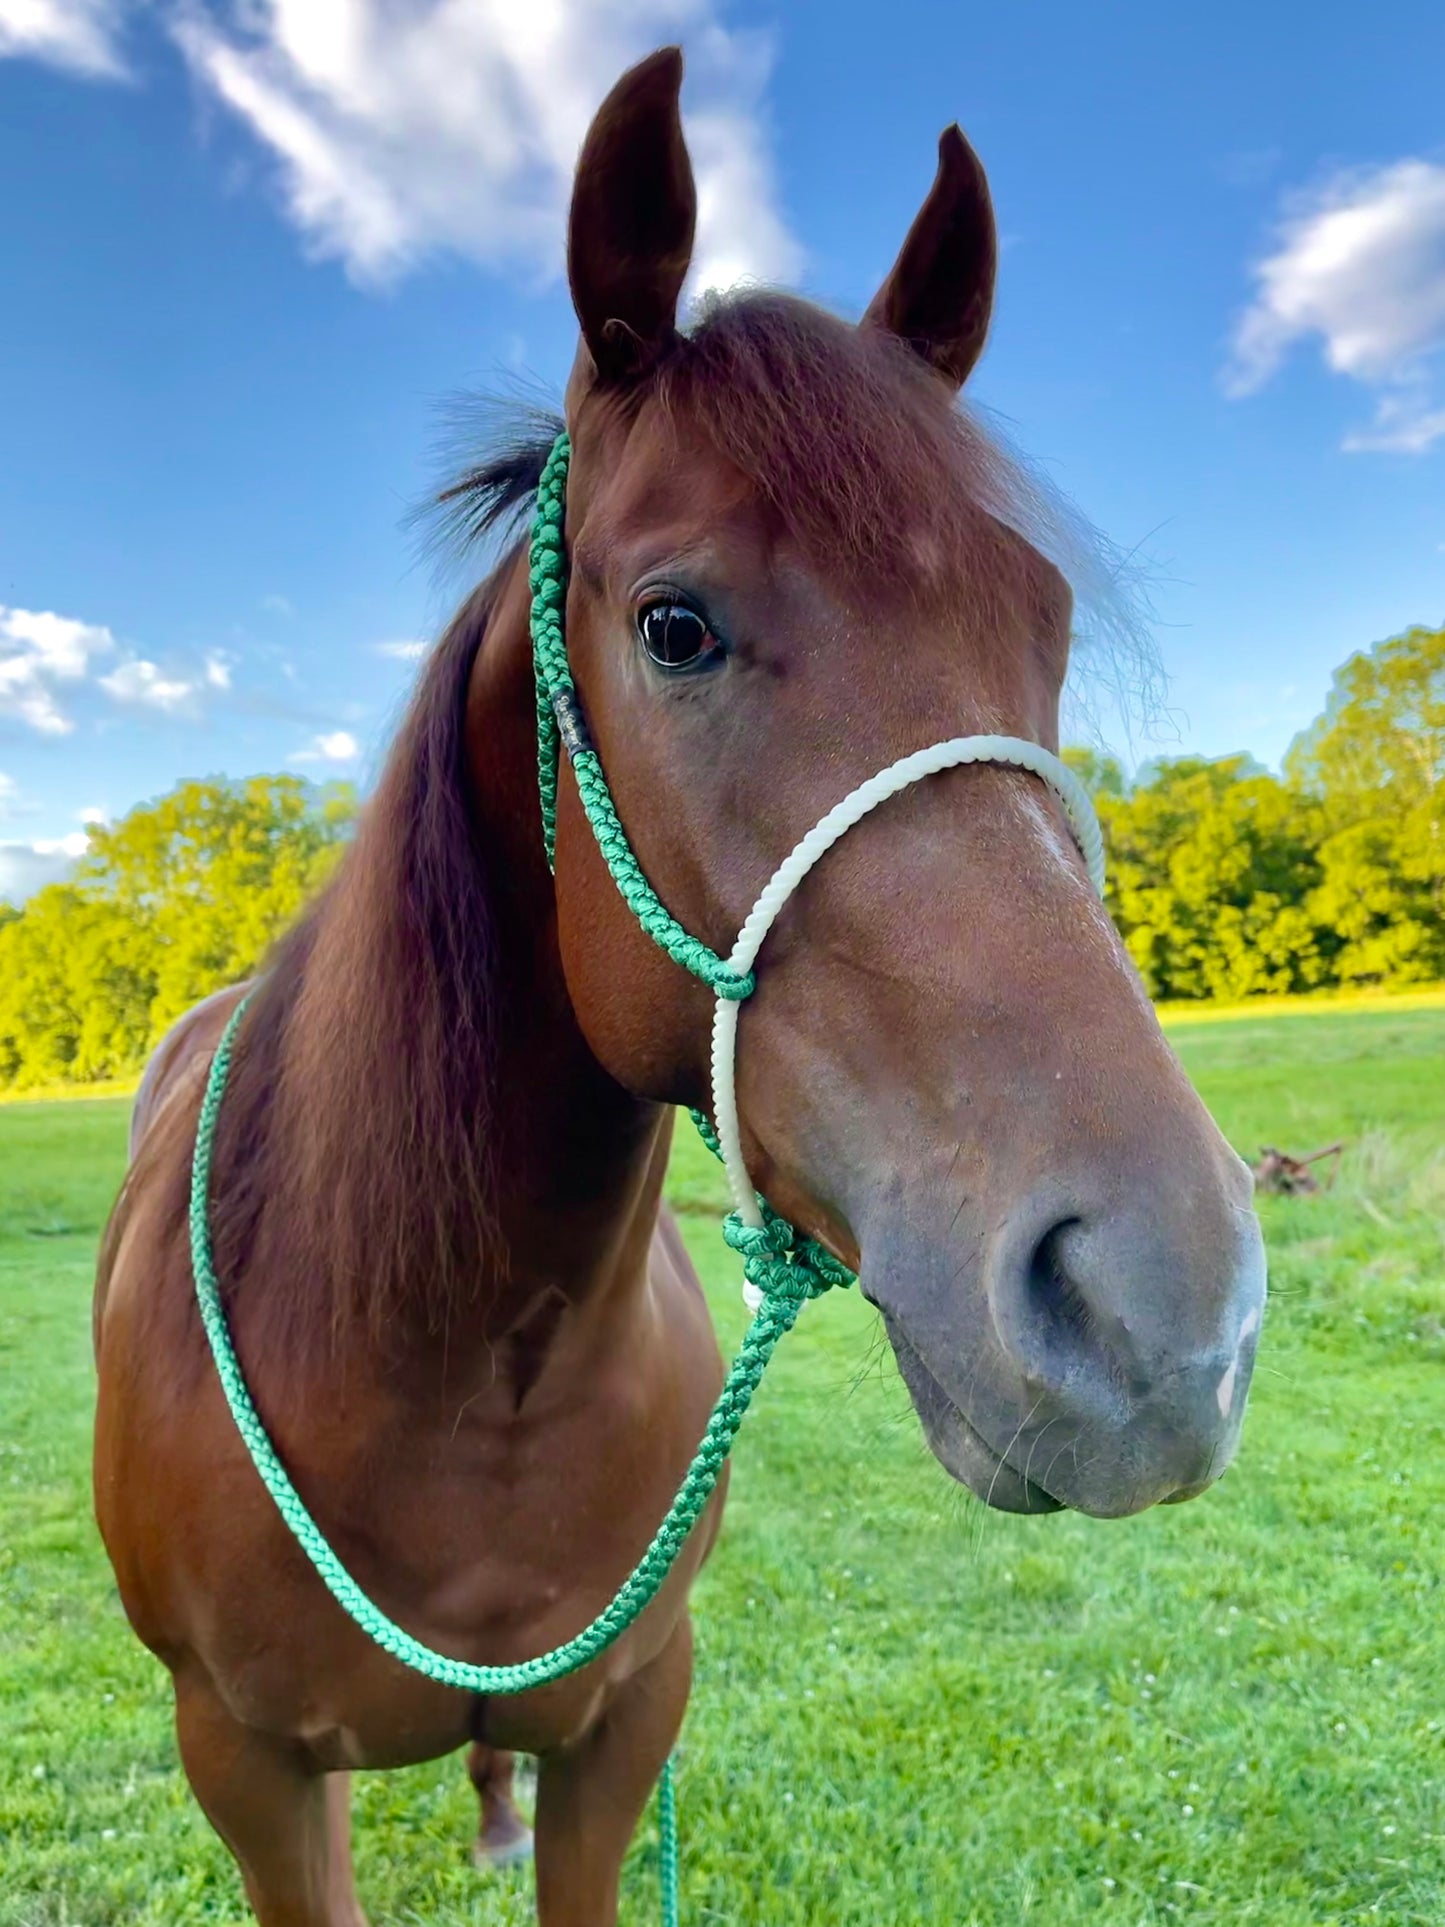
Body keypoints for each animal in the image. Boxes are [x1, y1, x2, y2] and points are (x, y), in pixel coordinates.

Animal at [90, 45, 1263, 1927]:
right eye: (675, 626)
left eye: (1047, 619)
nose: (1168, 1318)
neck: (443, 1362)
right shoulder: (250, 1770)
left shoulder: (631, 1717)